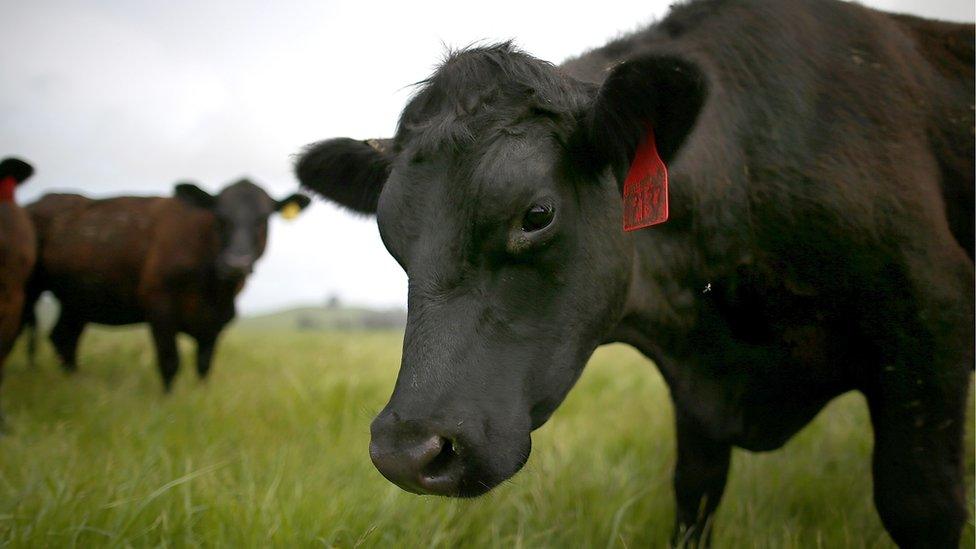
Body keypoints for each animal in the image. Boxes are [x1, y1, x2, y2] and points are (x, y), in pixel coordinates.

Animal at [24, 180, 308, 390]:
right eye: (220, 217)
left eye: (263, 219)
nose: (236, 264)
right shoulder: (160, 307)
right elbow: (170, 361)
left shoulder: (217, 321)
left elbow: (204, 365)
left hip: (78, 300)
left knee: (63, 338)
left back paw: (74, 382)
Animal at [296, 0, 976, 544]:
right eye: (390, 235)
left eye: (537, 214)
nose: (407, 451)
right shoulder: (700, 396)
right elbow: (695, 495)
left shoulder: (934, 318)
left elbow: (919, 506)